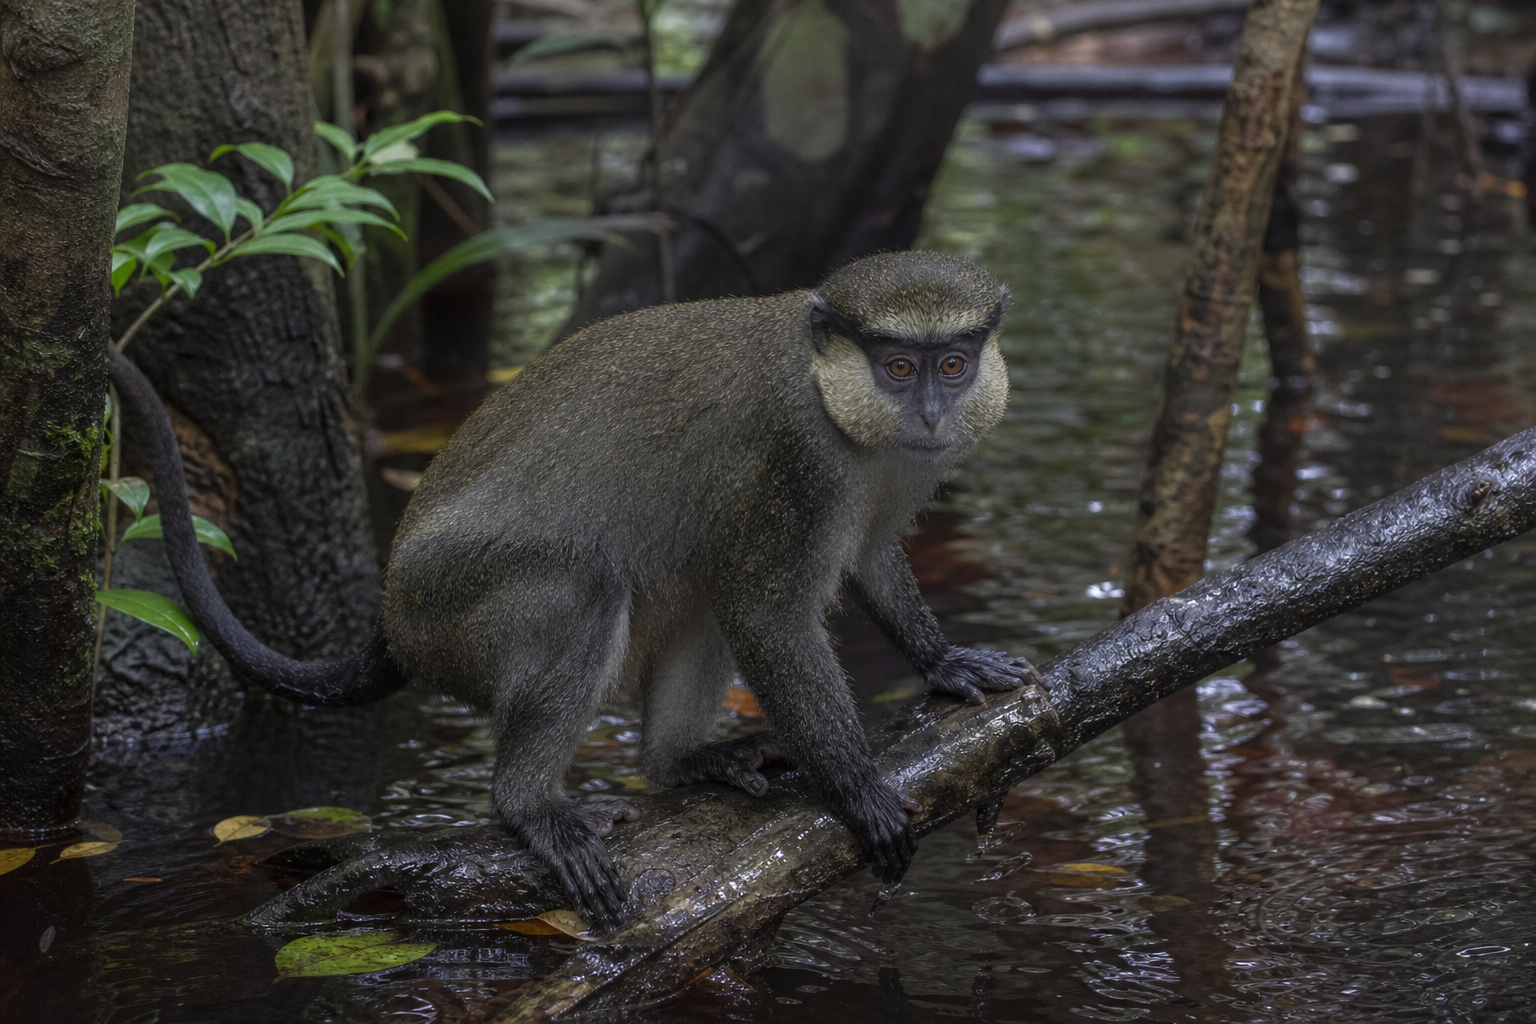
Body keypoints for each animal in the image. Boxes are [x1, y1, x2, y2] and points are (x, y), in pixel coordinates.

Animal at [107, 249, 1040, 932]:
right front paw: (855, 790)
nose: (929, 412)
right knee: (582, 593)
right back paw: (531, 804)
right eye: (897, 366)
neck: (841, 405)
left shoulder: (895, 478)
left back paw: (679, 761)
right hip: (455, 609)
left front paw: (943, 661)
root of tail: (391, 621)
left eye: (953, 363)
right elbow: (767, 612)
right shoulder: (796, 459)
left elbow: (873, 558)